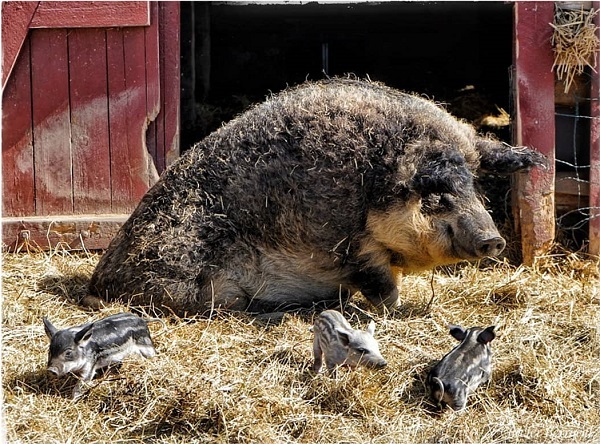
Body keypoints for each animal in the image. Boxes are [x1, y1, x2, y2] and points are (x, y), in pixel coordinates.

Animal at [89, 78, 548, 318]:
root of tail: (99, 280)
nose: (493, 239)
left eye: (474, 187)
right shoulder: (350, 248)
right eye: (436, 197)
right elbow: (383, 288)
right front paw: (397, 312)